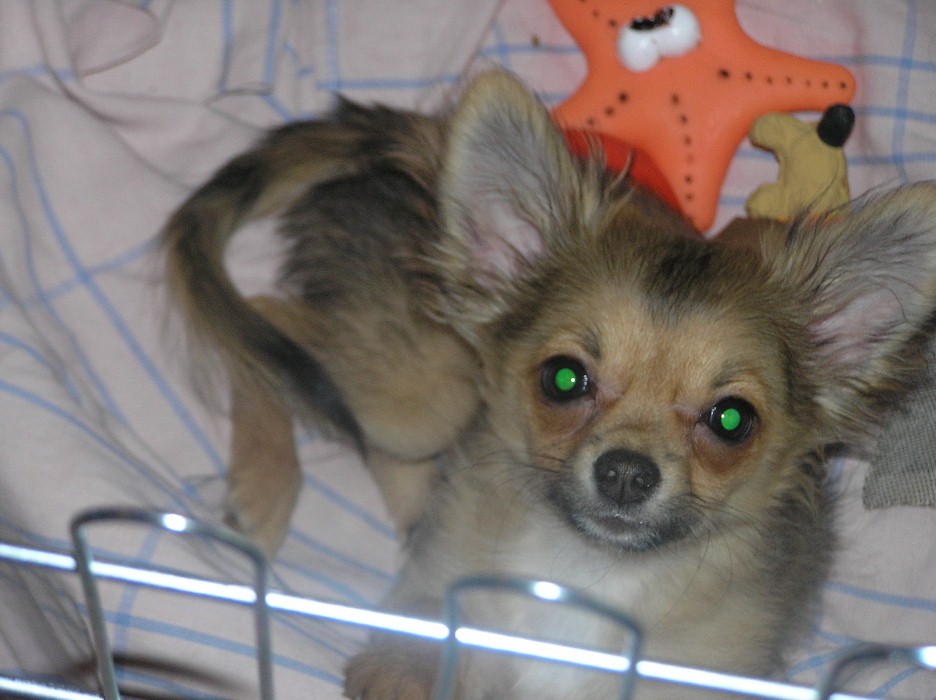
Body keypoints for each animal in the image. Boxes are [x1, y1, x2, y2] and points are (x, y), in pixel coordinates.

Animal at [162, 71, 936, 698]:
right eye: (565, 379)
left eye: (731, 420)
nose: (625, 472)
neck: (592, 574)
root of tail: (419, 135)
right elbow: (423, 643)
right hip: (417, 394)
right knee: (273, 323)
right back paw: (265, 487)